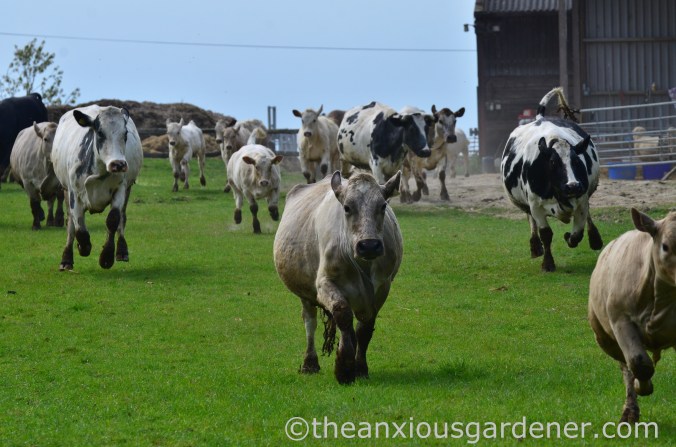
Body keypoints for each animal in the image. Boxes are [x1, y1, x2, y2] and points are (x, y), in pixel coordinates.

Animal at [51, 105, 143, 270]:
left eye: (125, 133)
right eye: (100, 133)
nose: (118, 164)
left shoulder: (120, 189)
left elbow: (113, 219)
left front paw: (106, 256)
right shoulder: (74, 192)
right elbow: (78, 226)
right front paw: (83, 247)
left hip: (128, 189)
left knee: (122, 218)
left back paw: (122, 251)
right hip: (66, 190)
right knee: (70, 224)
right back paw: (66, 259)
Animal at [274, 170, 403, 384]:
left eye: (383, 205)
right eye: (347, 207)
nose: (369, 245)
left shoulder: (383, 288)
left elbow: (364, 328)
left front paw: (360, 368)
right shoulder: (324, 284)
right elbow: (342, 314)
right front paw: (344, 367)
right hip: (305, 295)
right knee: (310, 322)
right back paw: (310, 363)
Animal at [501, 87, 603, 272]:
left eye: (577, 161)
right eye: (553, 162)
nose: (573, 186)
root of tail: (540, 118)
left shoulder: (582, 202)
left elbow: (577, 234)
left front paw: (569, 237)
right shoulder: (536, 206)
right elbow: (546, 234)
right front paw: (548, 263)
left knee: (589, 219)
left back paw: (595, 239)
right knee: (531, 220)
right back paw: (535, 247)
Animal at [588, 208, 676, 423]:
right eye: (665, 246)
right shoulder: (620, 319)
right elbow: (639, 363)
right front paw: (642, 386)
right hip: (603, 335)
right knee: (626, 366)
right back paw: (630, 410)